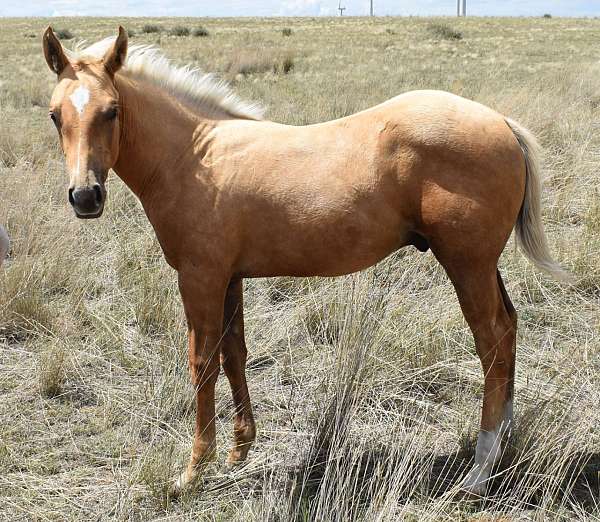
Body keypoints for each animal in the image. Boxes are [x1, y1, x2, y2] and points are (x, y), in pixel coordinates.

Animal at [42, 26, 568, 494]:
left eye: (112, 111)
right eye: (54, 115)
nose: (85, 197)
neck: (194, 157)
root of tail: (500, 122)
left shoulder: (199, 278)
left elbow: (202, 363)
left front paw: (193, 470)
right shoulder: (229, 278)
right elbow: (234, 354)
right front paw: (238, 450)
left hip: (467, 266)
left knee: (493, 341)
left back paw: (480, 470)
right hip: (483, 268)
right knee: (510, 330)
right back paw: (505, 441)